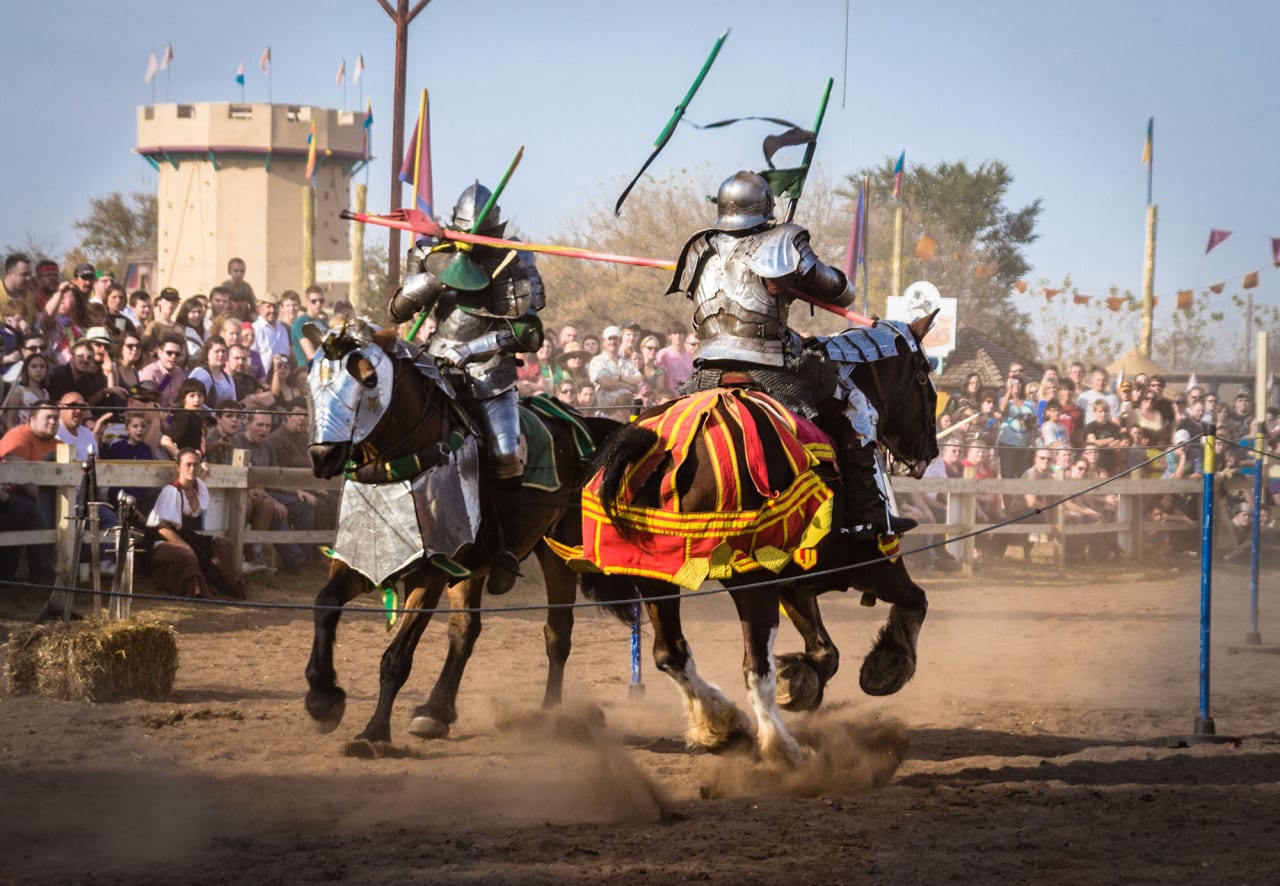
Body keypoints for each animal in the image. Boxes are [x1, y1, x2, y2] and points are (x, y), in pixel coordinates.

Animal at [305, 321, 634, 742]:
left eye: (369, 379)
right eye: (312, 380)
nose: (323, 456)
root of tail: (585, 426)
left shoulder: (430, 572)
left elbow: (397, 656)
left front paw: (373, 733)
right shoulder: (361, 558)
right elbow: (325, 604)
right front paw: (322, 698)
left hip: (558, 551)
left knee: (557, 633)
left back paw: (551, 714)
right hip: (474, 566)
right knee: (466, 631)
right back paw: (435, 710)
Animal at [586, 316, 936, 763]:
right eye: (924, 376)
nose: (928, 452)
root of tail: (659, 446)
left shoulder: (794, 578)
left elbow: (825, 651)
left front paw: (799, 680)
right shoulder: (873, 563)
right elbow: (915, 600)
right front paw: (887, 664)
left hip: (656, 578)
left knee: (671, 654)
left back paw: (722, 725)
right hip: (749, 580)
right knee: (754, 668)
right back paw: (782, 748)